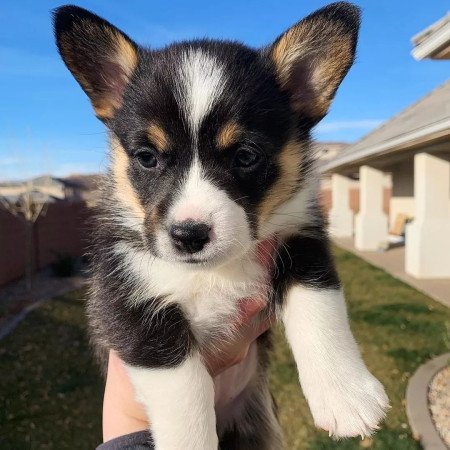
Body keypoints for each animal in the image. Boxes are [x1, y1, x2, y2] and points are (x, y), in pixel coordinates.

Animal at [53, 4, 390, 450]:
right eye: (146, 157)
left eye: (246, 155)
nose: (189, 236)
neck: (215, 271)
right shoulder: (127, 301)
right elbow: (185, 389)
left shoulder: (301, 242)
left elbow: (319, 308)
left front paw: (346, 396)